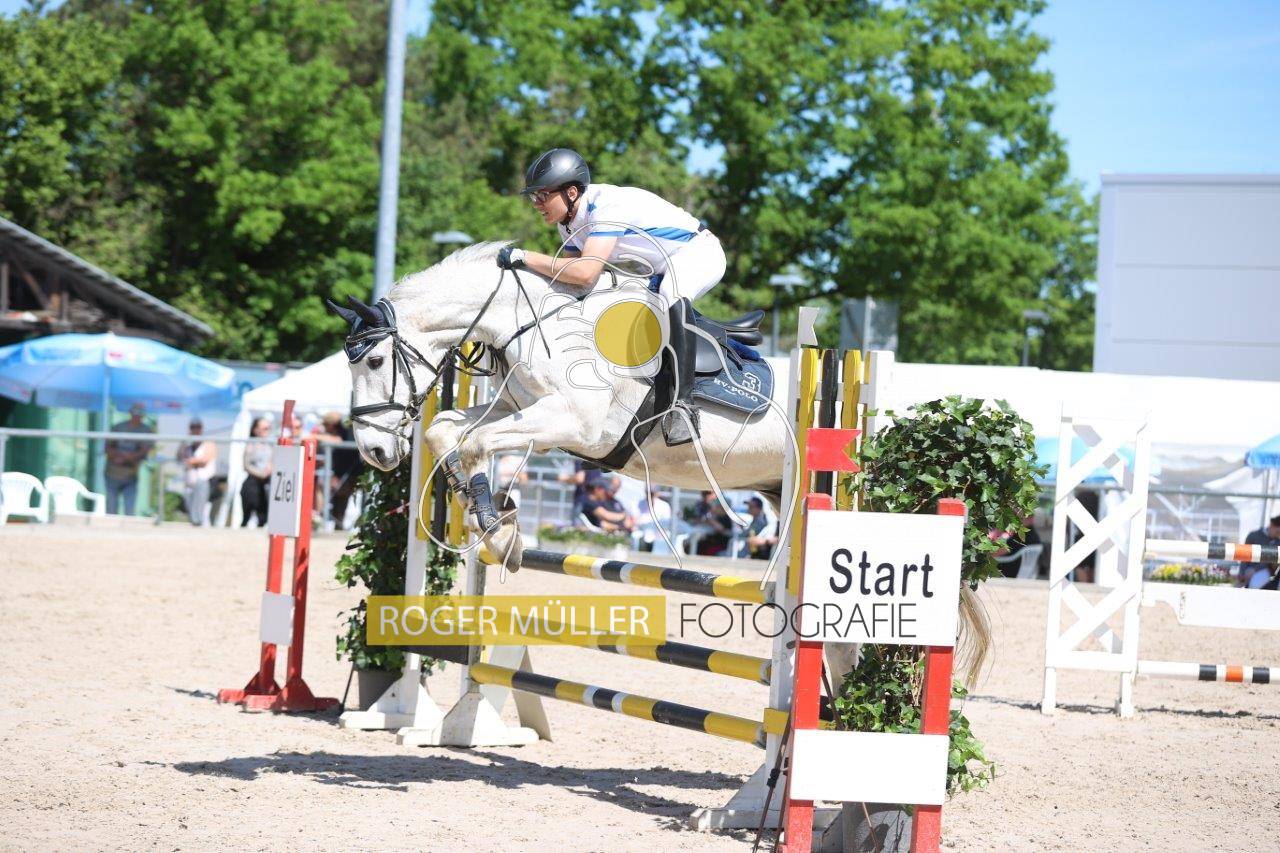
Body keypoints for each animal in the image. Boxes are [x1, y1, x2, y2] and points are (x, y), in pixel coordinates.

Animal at [329, 242, 793, 571]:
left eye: (374, 361)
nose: (373, 450)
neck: (533, 321)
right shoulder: (520, 408)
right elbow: (443, 429)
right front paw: (488, 519)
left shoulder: (574, 424)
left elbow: (476, 442)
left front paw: (497, 530)